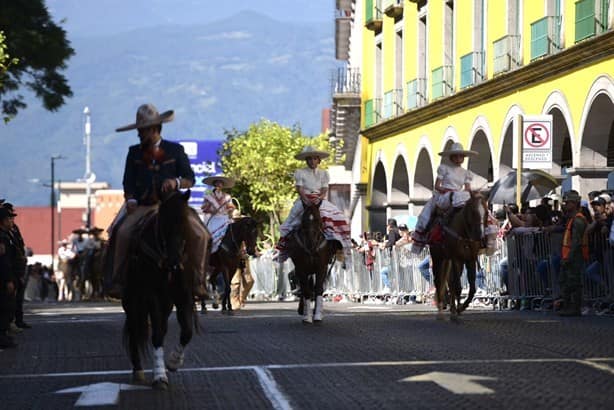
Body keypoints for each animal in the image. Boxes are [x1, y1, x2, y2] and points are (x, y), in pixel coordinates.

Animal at [124, 191, 201, 390]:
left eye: (185, 222)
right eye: (163, 222)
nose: (174, 262)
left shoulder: (184, 294)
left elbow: (187, 331)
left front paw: (173, 362)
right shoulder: (153, 295)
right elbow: (157, 334)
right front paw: (159, 375)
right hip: (132, 299)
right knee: (135, 328)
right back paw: (138, 370)